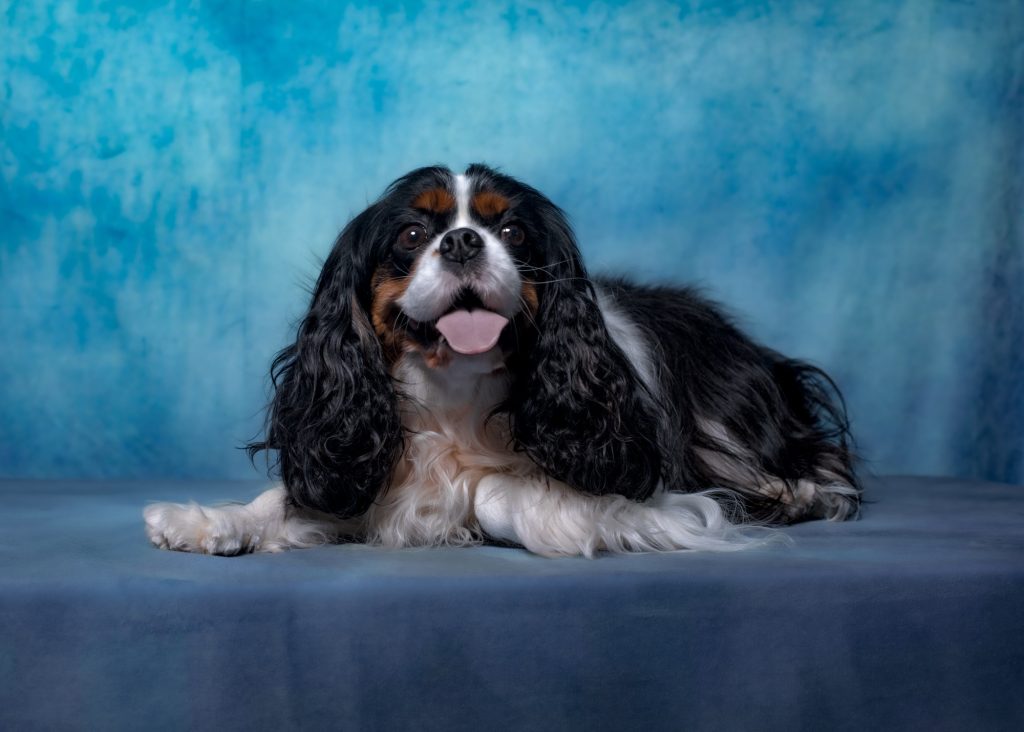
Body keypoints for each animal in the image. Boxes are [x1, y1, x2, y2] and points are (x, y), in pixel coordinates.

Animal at [144, 164, 856, 556]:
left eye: (510, 231)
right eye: (413, 234)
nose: (463, 241)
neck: (454, 399)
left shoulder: (673, 500)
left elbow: (489, 492)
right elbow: (287, 498)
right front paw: (210, 521)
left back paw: (799, 493)